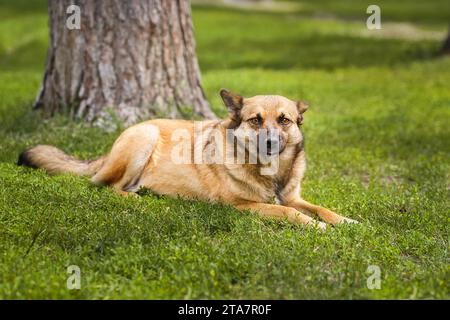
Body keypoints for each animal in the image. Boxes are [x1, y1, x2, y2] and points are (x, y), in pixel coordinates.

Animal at [17, 90, 358, 229]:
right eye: (256, 120)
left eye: (284, 120)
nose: (271, 142)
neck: (270, 174)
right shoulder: (242, 206)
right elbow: (289, 213)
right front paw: (316, 227)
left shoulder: (292, 196)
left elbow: (321, 208)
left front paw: (345, 221)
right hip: (144, 139)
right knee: (108, 187)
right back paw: (139, 198)